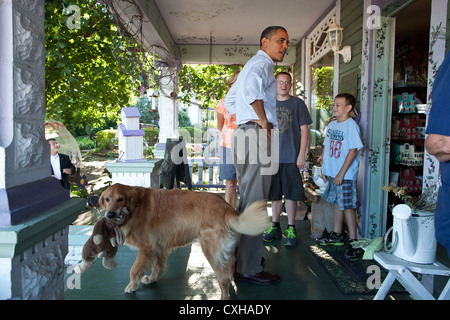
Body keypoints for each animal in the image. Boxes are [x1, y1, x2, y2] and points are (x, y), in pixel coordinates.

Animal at [100, 182, 268, 300]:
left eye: (120, 199)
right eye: (107, 199)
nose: (110, 214)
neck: (136, 206)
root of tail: (227, 208)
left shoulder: (146, 248)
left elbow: (134, 269)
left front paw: (131, 286)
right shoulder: (158, 247)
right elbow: (156, 266)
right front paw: (152, 279)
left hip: (212, 252)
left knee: (224, 279)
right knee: (229, 271)